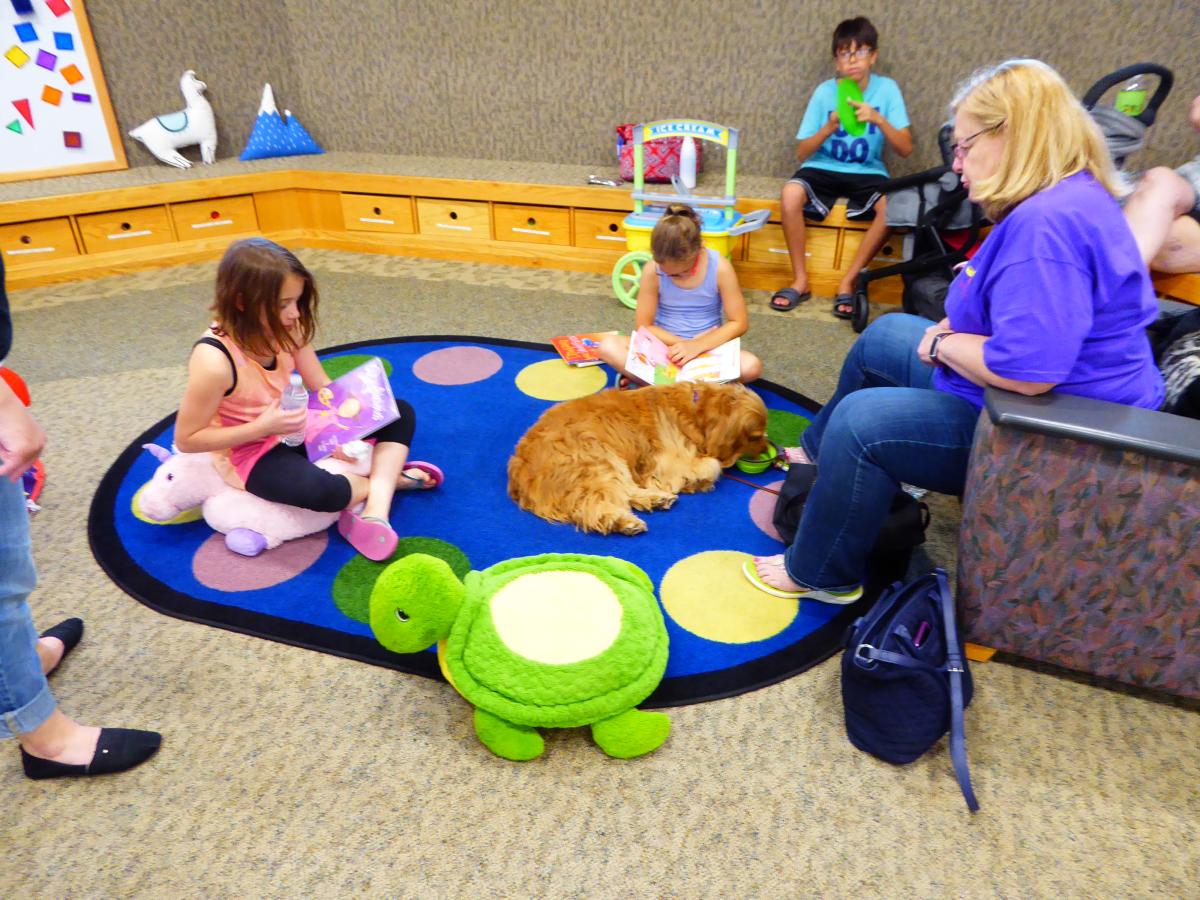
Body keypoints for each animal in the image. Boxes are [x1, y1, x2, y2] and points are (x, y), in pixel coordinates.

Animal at [506, 381, 768, 535]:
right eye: (755, 436)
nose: (767, 449)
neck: (696, 410)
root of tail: (518, 477)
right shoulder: (672, 464)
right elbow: (713, 467)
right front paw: (698, 482)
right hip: (597, 457)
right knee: (595, 508)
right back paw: (624, 522)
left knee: (625, 491)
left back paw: (656, 499)